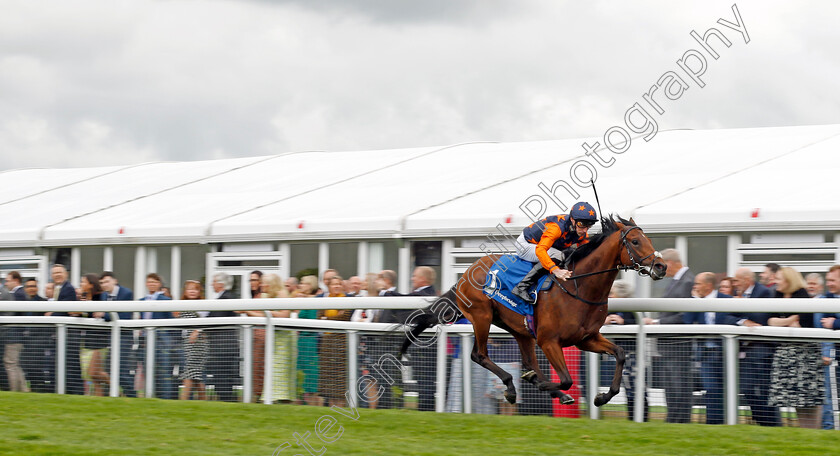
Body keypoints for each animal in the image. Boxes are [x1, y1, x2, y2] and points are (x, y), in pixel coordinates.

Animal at [404, 216, 668, 406]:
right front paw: (544, 386)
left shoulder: (586, 338)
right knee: (479, 355)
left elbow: (621, 354)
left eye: (648, 239)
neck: (579, 286)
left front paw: (602, 397)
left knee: (529, 361)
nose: (661, 266)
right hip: (482, 317)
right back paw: (512, 387)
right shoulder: (549, 340)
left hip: (518, 329)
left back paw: (538, 385)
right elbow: (566, 379)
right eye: (635, 241)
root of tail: (467, 273)